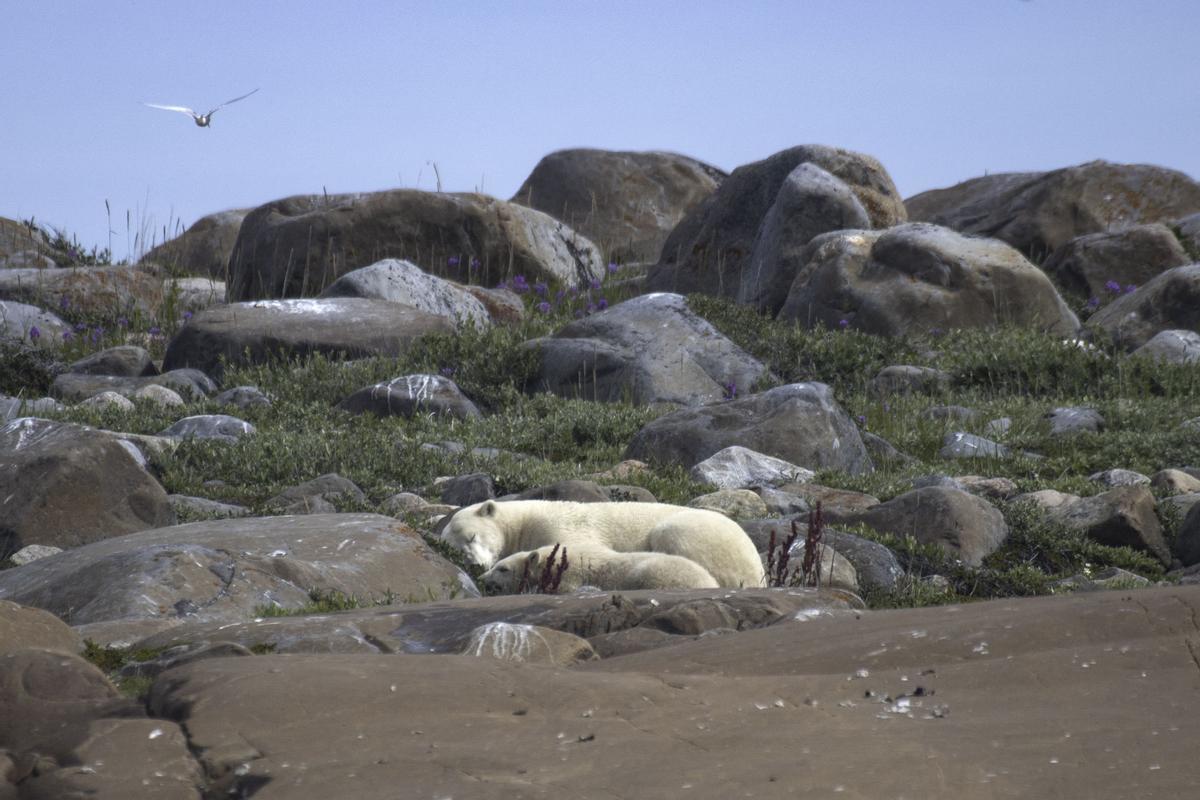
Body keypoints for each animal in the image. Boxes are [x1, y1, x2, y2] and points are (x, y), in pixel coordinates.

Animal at [436, 501, 763, 587]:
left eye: (472, 536)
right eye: (454, 550)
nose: (476, 564)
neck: (524, 520)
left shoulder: (560, 526)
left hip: (695, 532)